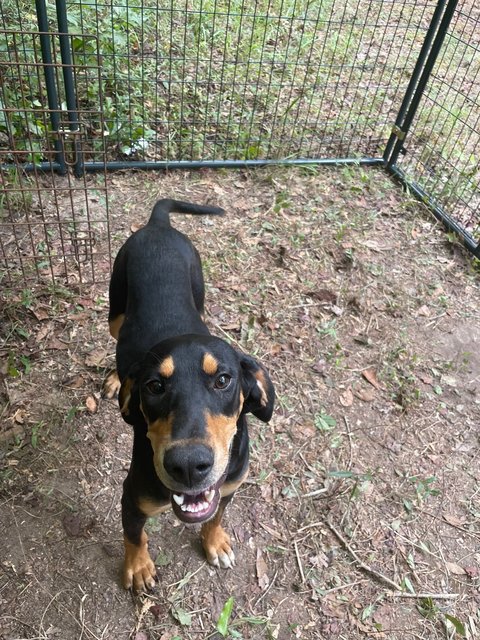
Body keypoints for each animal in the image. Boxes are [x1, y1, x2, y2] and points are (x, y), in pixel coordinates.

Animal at [105, 199, 276, 592]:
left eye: (224, 380)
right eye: (154, 386)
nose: (187, 466)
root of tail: (158, 224)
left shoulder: (228, 488)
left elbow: (215, 516)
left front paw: (214, 542)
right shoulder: (132, 497)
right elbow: (133, 536)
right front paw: (138, 567)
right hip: (116, 312)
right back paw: (114, 379)